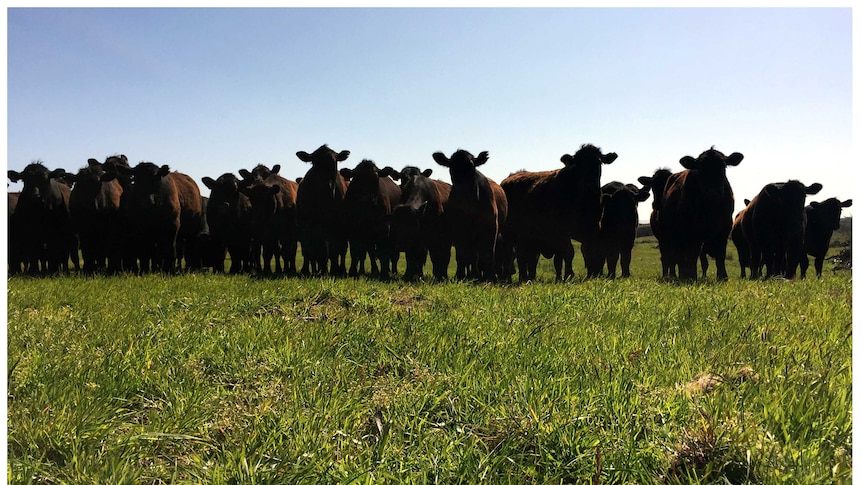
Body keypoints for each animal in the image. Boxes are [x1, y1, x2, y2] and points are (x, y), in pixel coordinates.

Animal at [296, 145, 352, 276]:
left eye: (335, 162)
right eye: (314, 163)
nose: (327, 187)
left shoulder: (337, 224)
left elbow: (333, 250)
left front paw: (332, 270)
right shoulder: (308, 224)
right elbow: (313, 250)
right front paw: (314, 270)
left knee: (341, 250)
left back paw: (339, 269)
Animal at [432, 149, 506, 282]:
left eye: (472, 166)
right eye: (451, 167)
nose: (461, 188)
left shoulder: (491, 228)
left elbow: (487, 255)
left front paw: (490, 278)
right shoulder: (458, 228)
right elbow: (462, 255)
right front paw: (460, 276)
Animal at [500, 142, 620, 282]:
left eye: (597, 163)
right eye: (577, 165)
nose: (588, 186)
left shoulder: (593, 228)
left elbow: (591, 251)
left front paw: (592, 275)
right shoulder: (561, 230)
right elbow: (568, 253)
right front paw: (568, 275)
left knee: (521, 255)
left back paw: (523, 278)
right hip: (509, 234)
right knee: (510, 254)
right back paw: (510, 278)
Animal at [660, 146, 744, 278]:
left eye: (723, 166)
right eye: (700, 167)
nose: (711, 191)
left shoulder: (725, 228)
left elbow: (720, 255)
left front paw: (722, 277)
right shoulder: (693, 230)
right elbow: (693, 255)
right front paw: (692, 276)